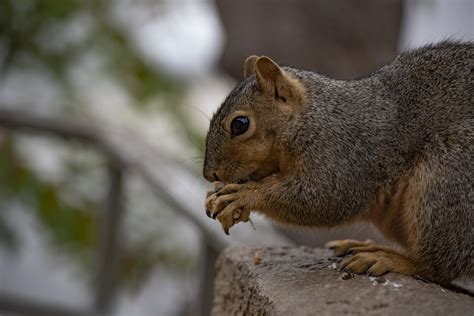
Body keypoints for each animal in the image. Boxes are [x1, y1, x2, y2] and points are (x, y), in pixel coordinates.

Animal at [202, 40, 472, 286]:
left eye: (240, 124)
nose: (209, 174)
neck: (314, 118)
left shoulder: (344, 157)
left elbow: (323, 199)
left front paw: (243, 196)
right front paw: (215, 195)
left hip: (444, 182)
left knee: (439, 267)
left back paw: (385, 257)